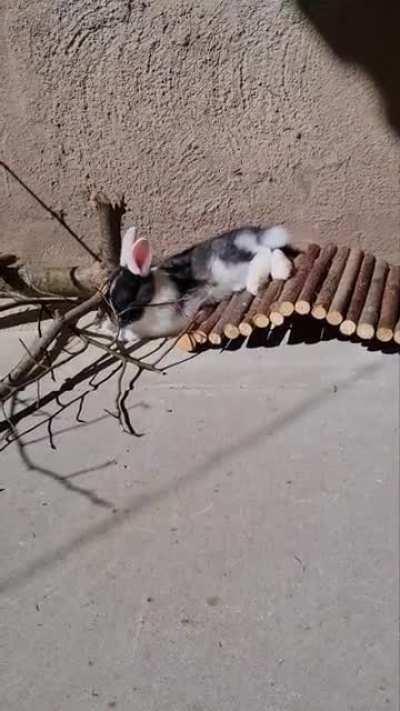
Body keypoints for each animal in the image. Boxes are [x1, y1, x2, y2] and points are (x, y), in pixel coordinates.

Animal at [103, 224, 294, 342]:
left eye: (130, 297)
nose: (117, 319)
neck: (154, 295)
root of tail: (257, 236)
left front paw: (120, 334)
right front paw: (107, 328)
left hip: (229, 262)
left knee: (266, 252)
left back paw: (262, 280)